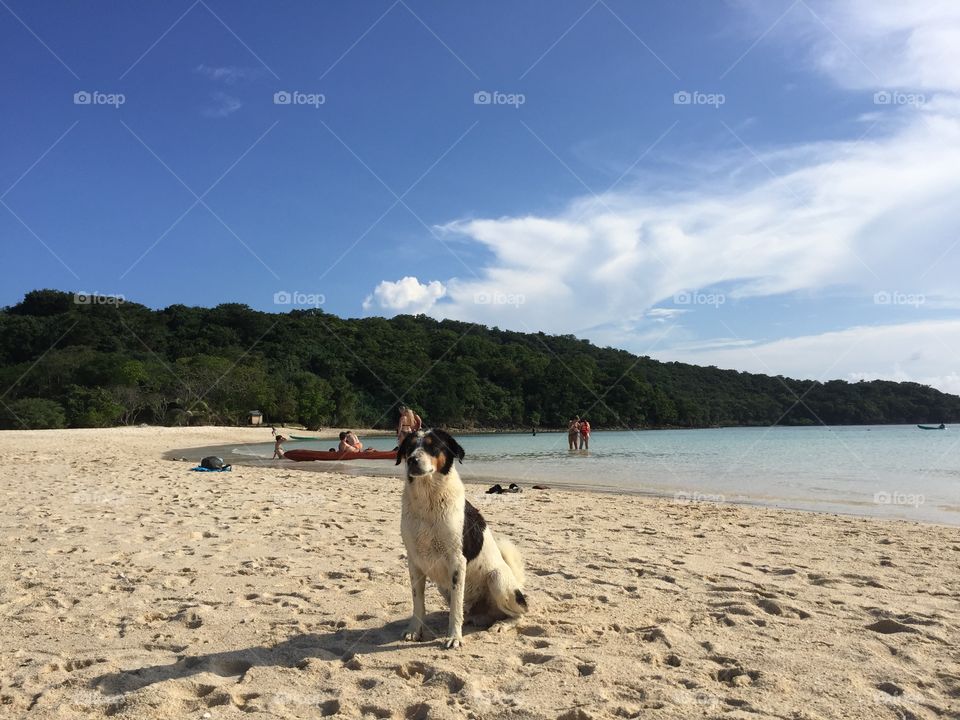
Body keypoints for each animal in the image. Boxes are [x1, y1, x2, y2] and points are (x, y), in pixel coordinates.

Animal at [398, 428, 532, 648]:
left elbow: (455, 607)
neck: (428, 500)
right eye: (409, 447)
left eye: (433, 446)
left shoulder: (457, 561)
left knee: (520, 615)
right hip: (444, 587)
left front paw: (454, 637)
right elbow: (418, 602)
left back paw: (501, 625)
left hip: (497, 579)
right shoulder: (414, 561)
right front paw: (414, 630)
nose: (412, 460)